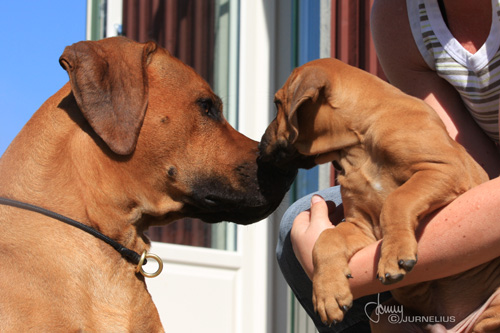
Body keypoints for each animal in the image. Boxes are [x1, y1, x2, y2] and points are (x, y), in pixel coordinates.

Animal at [258, 58, 500, 330]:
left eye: (278, 104)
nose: (260, 144)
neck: (358, 145)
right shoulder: (361, 226)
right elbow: (327, 238)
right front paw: (328, 293)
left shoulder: (446, 168)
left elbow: (397, 200)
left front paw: (394, 255)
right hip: (384, 315)